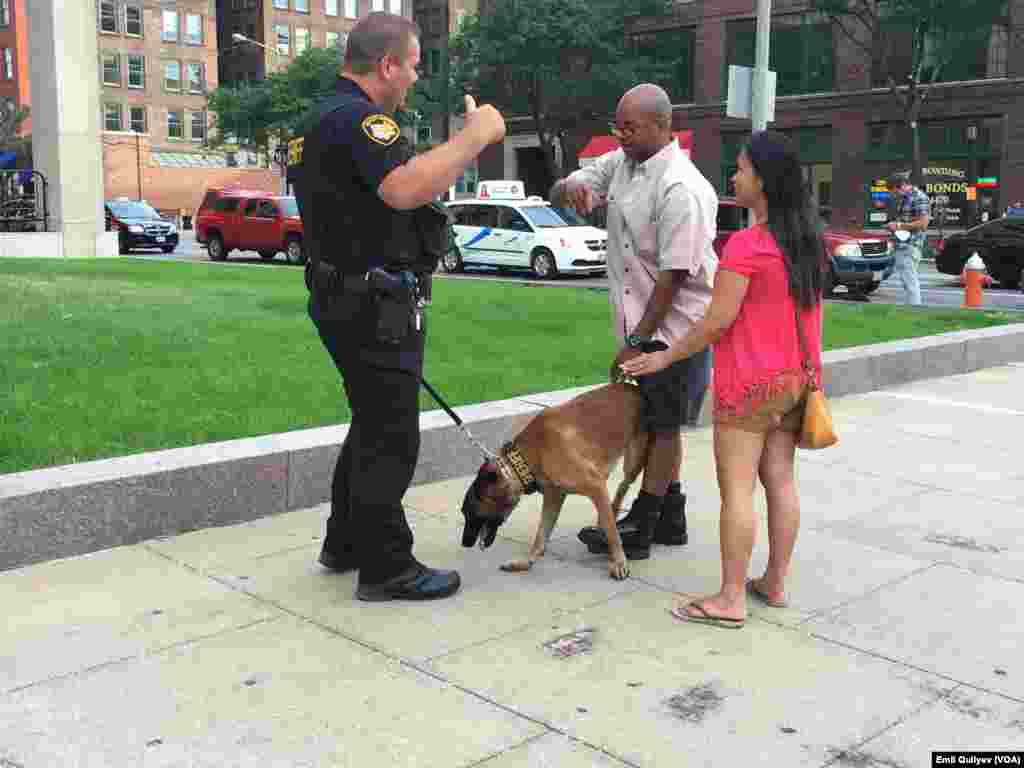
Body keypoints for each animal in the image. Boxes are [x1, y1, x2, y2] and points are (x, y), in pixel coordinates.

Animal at [462, 382, 647, 581]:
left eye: (470, 513)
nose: (464, 543)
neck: (527, 458)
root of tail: (633, 387)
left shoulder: (595, 486)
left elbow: (613, 533)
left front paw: (619, 561)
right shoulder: (554, 498)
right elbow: (540, 536)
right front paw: (526, 562)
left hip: (634, 460)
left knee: (623, 485)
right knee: (613, 498)